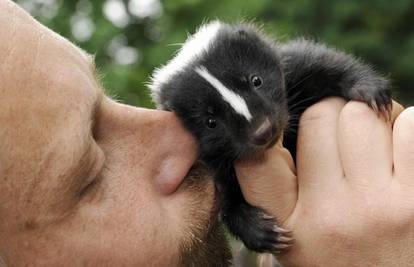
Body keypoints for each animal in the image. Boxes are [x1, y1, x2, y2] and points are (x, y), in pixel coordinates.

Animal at [149, 21, 392, 255]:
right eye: (211, 122)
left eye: (256, 80)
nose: (262, 130)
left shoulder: (294, 68)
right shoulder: (215, 165)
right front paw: (261, 231)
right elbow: (229, 203)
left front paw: (368, 89)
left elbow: (326, 64)